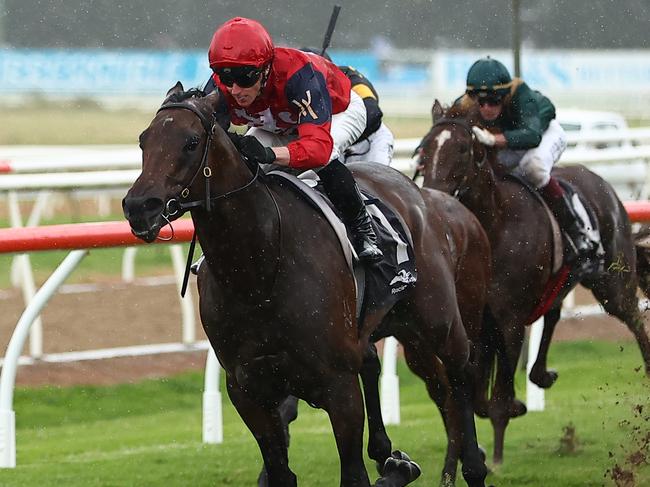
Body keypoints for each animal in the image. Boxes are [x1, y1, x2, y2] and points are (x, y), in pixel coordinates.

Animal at [121, 85, 488, 487]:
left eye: (190, 142)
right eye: (143, 140)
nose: (139, 206)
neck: (259, 270)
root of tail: (419, 193)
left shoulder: (338, 386)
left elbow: (353, 473)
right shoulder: (248, 391)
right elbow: (280, 468)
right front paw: (393, 463)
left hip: (438, 322)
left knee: (459, 373)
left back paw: (471, 464)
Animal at [416, 99, 648, 466]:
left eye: (463, 148)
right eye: (425, 150)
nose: (432, 196)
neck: (494, 225)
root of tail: (603, 183)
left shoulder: (509, 321)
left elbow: (498, 397)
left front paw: (498, 451)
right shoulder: (480, 323)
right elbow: (480, 397)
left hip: (613, 282)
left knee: (635, 319)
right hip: (560, 282)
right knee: (552, 314)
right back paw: (541, 373)